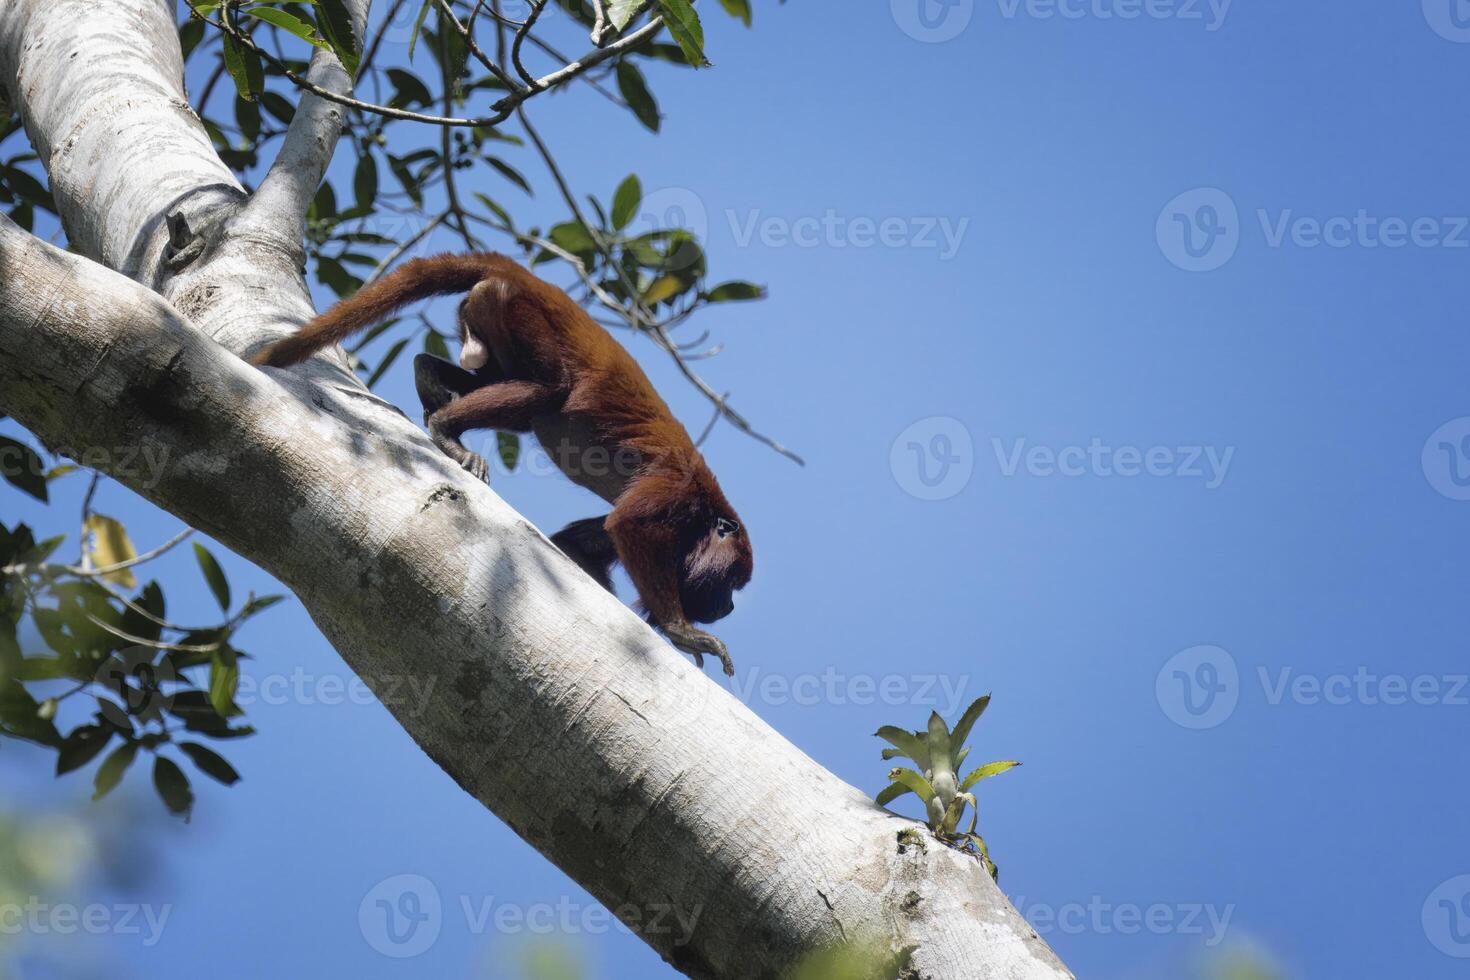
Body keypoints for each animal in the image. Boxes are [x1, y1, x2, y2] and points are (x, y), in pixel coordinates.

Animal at [249, 255, 746, 675]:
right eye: (734, 583)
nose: (729, 608)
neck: (704, 520)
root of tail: (528, 279)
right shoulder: (678, 491)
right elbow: (627, 524)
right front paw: (682, 633)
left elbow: (581, 545)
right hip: (521, 311)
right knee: (549, 389)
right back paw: (447, 429)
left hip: (489, 311)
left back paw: (429, 378)